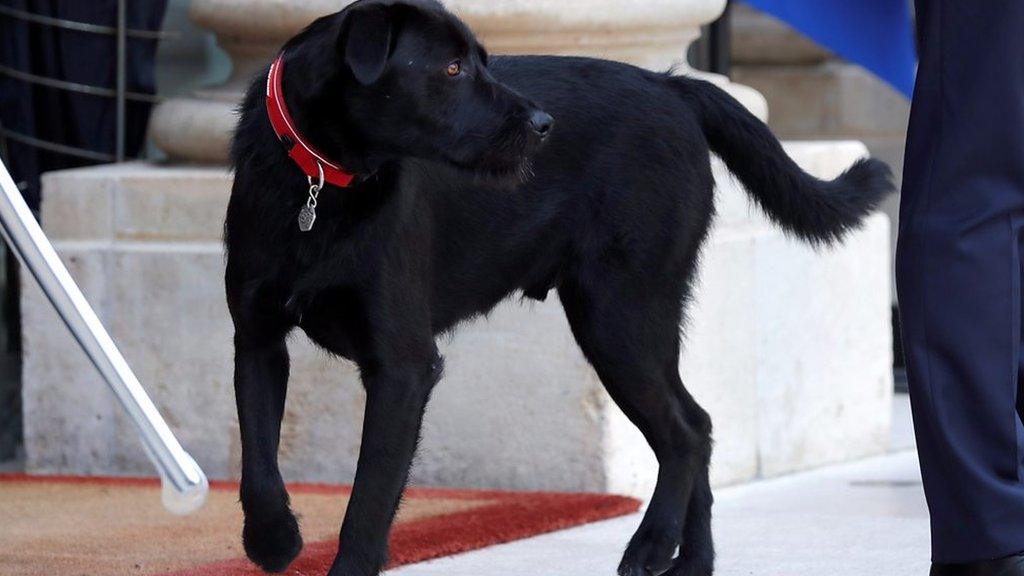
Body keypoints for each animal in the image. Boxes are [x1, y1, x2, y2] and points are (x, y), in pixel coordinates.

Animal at [226, 1, 897, 573]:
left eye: (481, 61)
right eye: (451, 68)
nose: (544, 122)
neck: (317, 182)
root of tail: (671, 85)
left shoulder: (403, 365)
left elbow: (368, 500)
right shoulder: (257, 340)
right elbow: (257, 457)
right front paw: (273, 539)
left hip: (621, 316)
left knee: (685, 434)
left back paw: (652, 545)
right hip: (633, 324)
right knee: (697, 423)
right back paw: (693, 562)